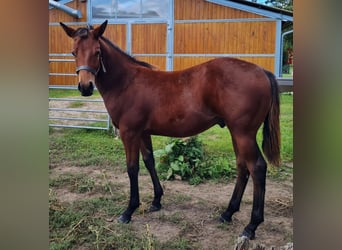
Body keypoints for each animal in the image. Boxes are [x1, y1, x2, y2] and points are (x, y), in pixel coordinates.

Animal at [60, 20, 280, 239]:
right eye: (73, 52)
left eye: (97, 52)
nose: (85, 87)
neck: (126, 82)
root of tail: (262, 71)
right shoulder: (143, 133)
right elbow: (149, 161)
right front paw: (156, 201)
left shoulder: (129, 133)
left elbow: (132, 168)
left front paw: (129, 211)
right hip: (236, 133)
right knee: (242, 167)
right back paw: (228, 213)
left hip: (244, 134)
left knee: (257, 167)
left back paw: (251, 226)